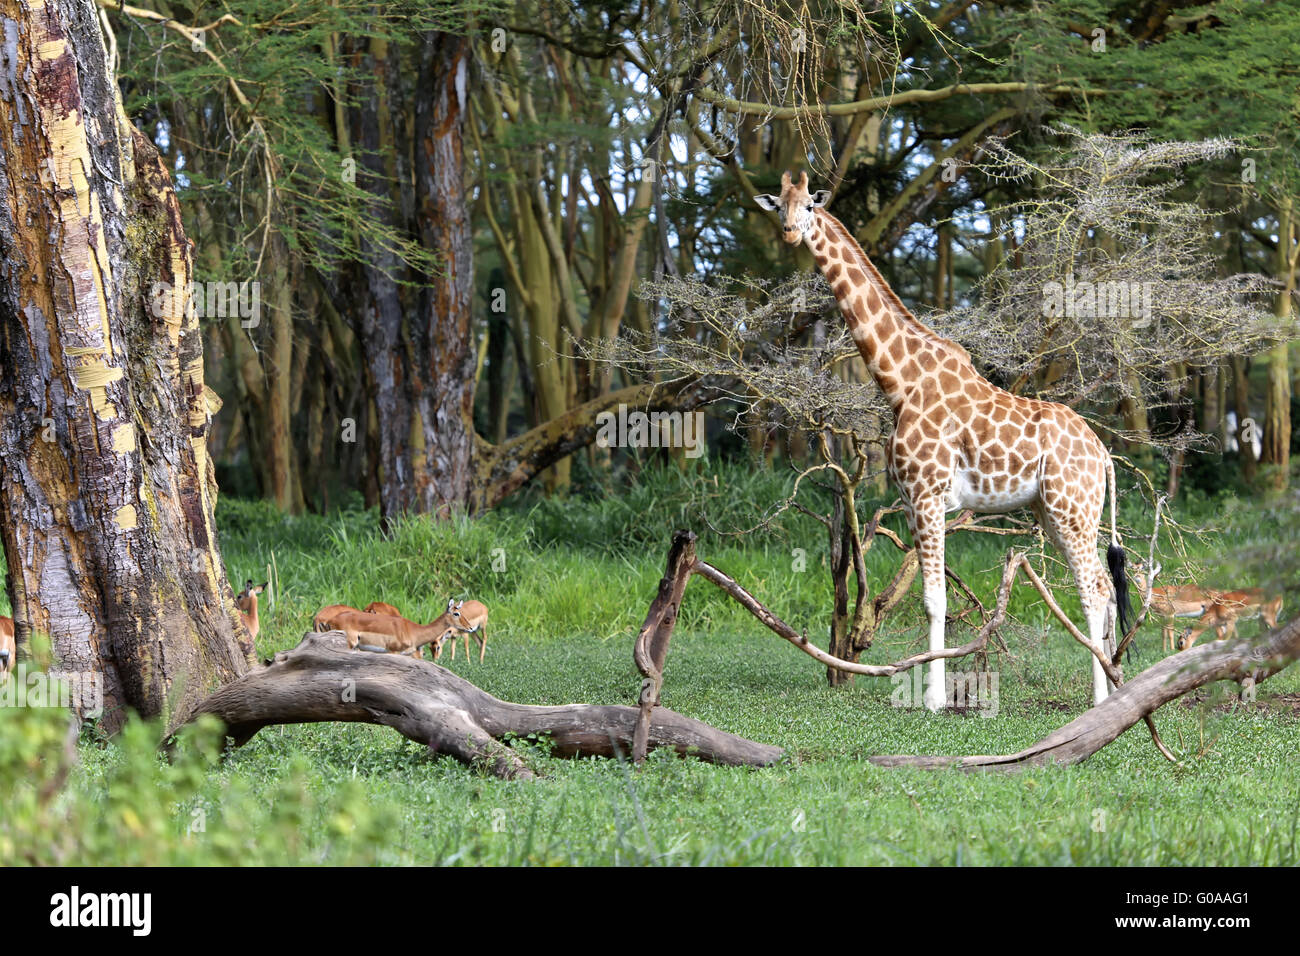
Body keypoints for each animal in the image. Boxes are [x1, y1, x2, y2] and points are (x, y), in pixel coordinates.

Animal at [759, 174, 1133, 712]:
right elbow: (930, 596)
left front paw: (934, 698)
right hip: (1055, 511)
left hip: (1072, 508)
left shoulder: (928, 493)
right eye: (779, 206)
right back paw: (1112, 688)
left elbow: (934, 598)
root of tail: (1103, 454)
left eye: (810, 205)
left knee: (1094, 589)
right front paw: (937, 693)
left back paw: (1102, 700)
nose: (790, 232)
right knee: (1102, 583)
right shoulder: (915, 499)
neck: (899, 381)